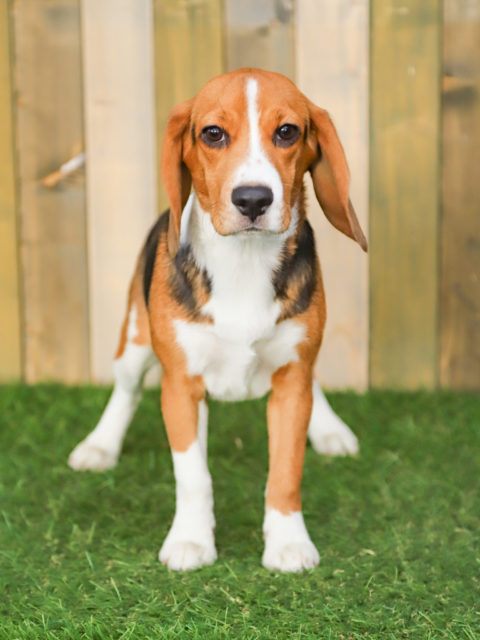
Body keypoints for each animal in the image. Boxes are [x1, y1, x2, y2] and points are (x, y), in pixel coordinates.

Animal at [68, 70, 368, 576]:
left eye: (287, 132)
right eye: (213, 134)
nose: (253, 199)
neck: (243, 261)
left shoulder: (293, 379)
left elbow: (285, 470)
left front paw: (288, 542)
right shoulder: (181, 387)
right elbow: (193, 476)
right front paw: (191, 540)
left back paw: (329, 430)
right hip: (135, 342)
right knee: (126, 391)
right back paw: (100, 446)